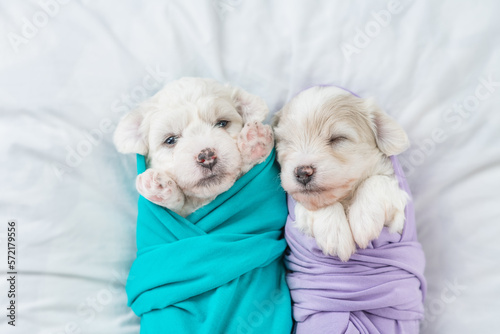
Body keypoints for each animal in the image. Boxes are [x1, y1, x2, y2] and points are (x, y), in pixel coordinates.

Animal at [274, 86, 410, 260]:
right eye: (286, 142)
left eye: (338, 138)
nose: (302, 173)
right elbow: (318, 202)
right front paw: (334, 232)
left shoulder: (396, 221)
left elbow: (376, 180)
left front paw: (364, 220)